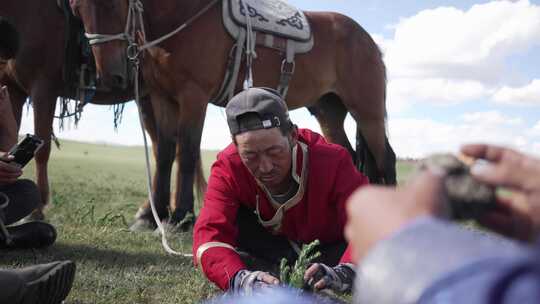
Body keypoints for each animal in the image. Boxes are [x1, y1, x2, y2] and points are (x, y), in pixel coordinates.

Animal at [73, 0, 396, 226]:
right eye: (76, 9)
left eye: (112, 4)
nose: (111, 76)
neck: (182, 16)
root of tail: (368, 40)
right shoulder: (161, 97)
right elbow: (164, 152)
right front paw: (151, 217)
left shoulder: (193, 96)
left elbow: (186, 150)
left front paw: (181, 216)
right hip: (329, 111)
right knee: (349, 157)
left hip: (368, 113)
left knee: (385, 159)